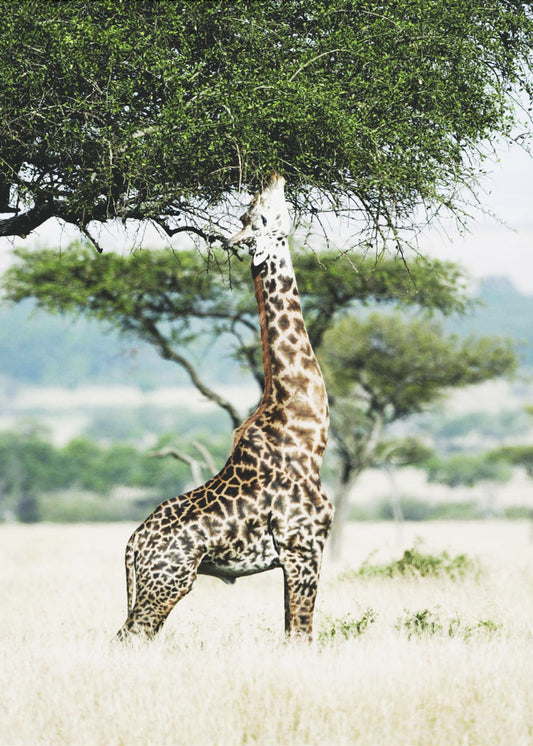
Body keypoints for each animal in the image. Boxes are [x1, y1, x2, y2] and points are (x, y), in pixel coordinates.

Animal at [116, 172, 333, 641]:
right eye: (259, 214)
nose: (272, 174)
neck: (308, 434)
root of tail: (133, 544)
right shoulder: (303, 546)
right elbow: (303, 635)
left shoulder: (294, 556)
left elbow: (290, 632)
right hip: (169, 581)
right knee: (130, 636)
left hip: (154, 584)